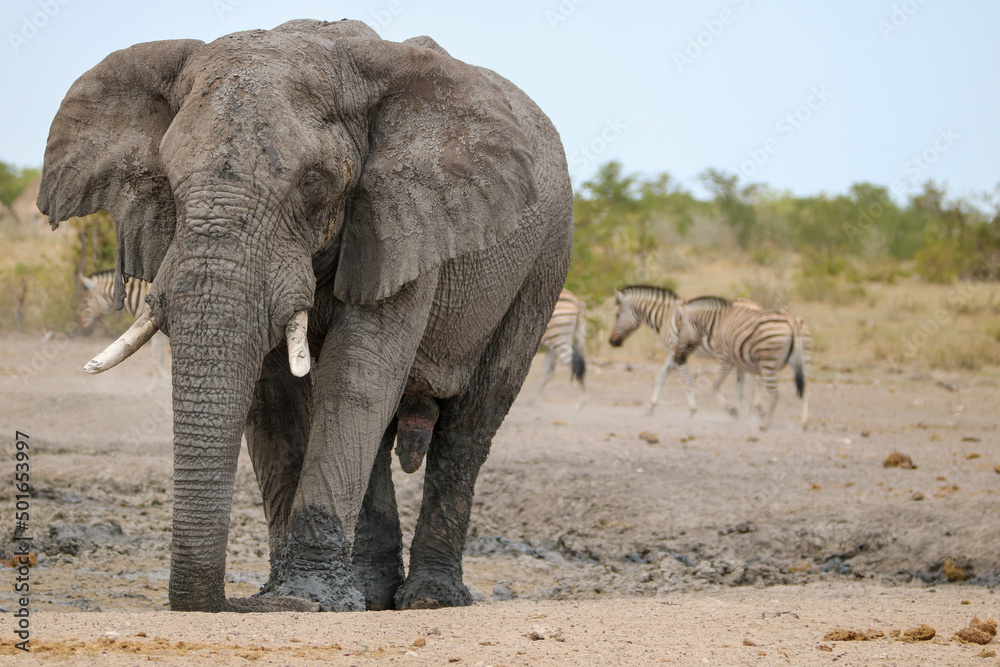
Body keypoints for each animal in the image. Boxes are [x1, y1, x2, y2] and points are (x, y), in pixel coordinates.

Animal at [37, 19, 573, 612]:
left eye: (315, 183)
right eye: (168, 178)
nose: (223, 602)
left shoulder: (406, 222)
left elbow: (357, 376)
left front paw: (304, 599)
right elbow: (274, 394)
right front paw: (287, 598)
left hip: (544, 263)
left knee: (472, 421)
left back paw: (429, 599)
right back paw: (371, 592)